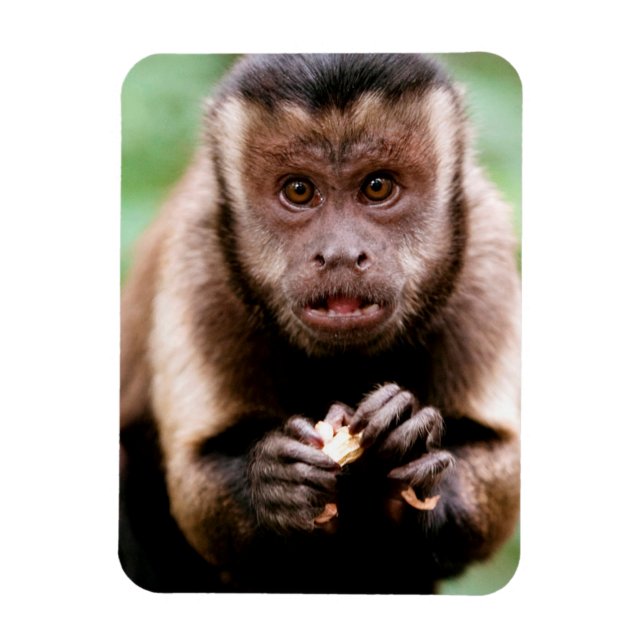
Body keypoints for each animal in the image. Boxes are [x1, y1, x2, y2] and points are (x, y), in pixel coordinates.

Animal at [119, 53, 521, 594]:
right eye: (299, 190)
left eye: (377, 186)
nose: (340, 254)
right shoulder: (199, 252)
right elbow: (194, 486)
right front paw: (272, 483)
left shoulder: (483, 246)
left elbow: (499, 465)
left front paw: (415, 449)